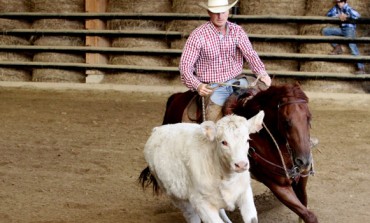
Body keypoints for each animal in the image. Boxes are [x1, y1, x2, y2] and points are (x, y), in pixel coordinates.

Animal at [141, 83, 318, 223]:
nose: (304, 161)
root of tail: (176, 97)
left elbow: (305, 208)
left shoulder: (301, 181)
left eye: (309, 118)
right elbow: (309, 215)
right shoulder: (278, 185)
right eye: (287, 122)